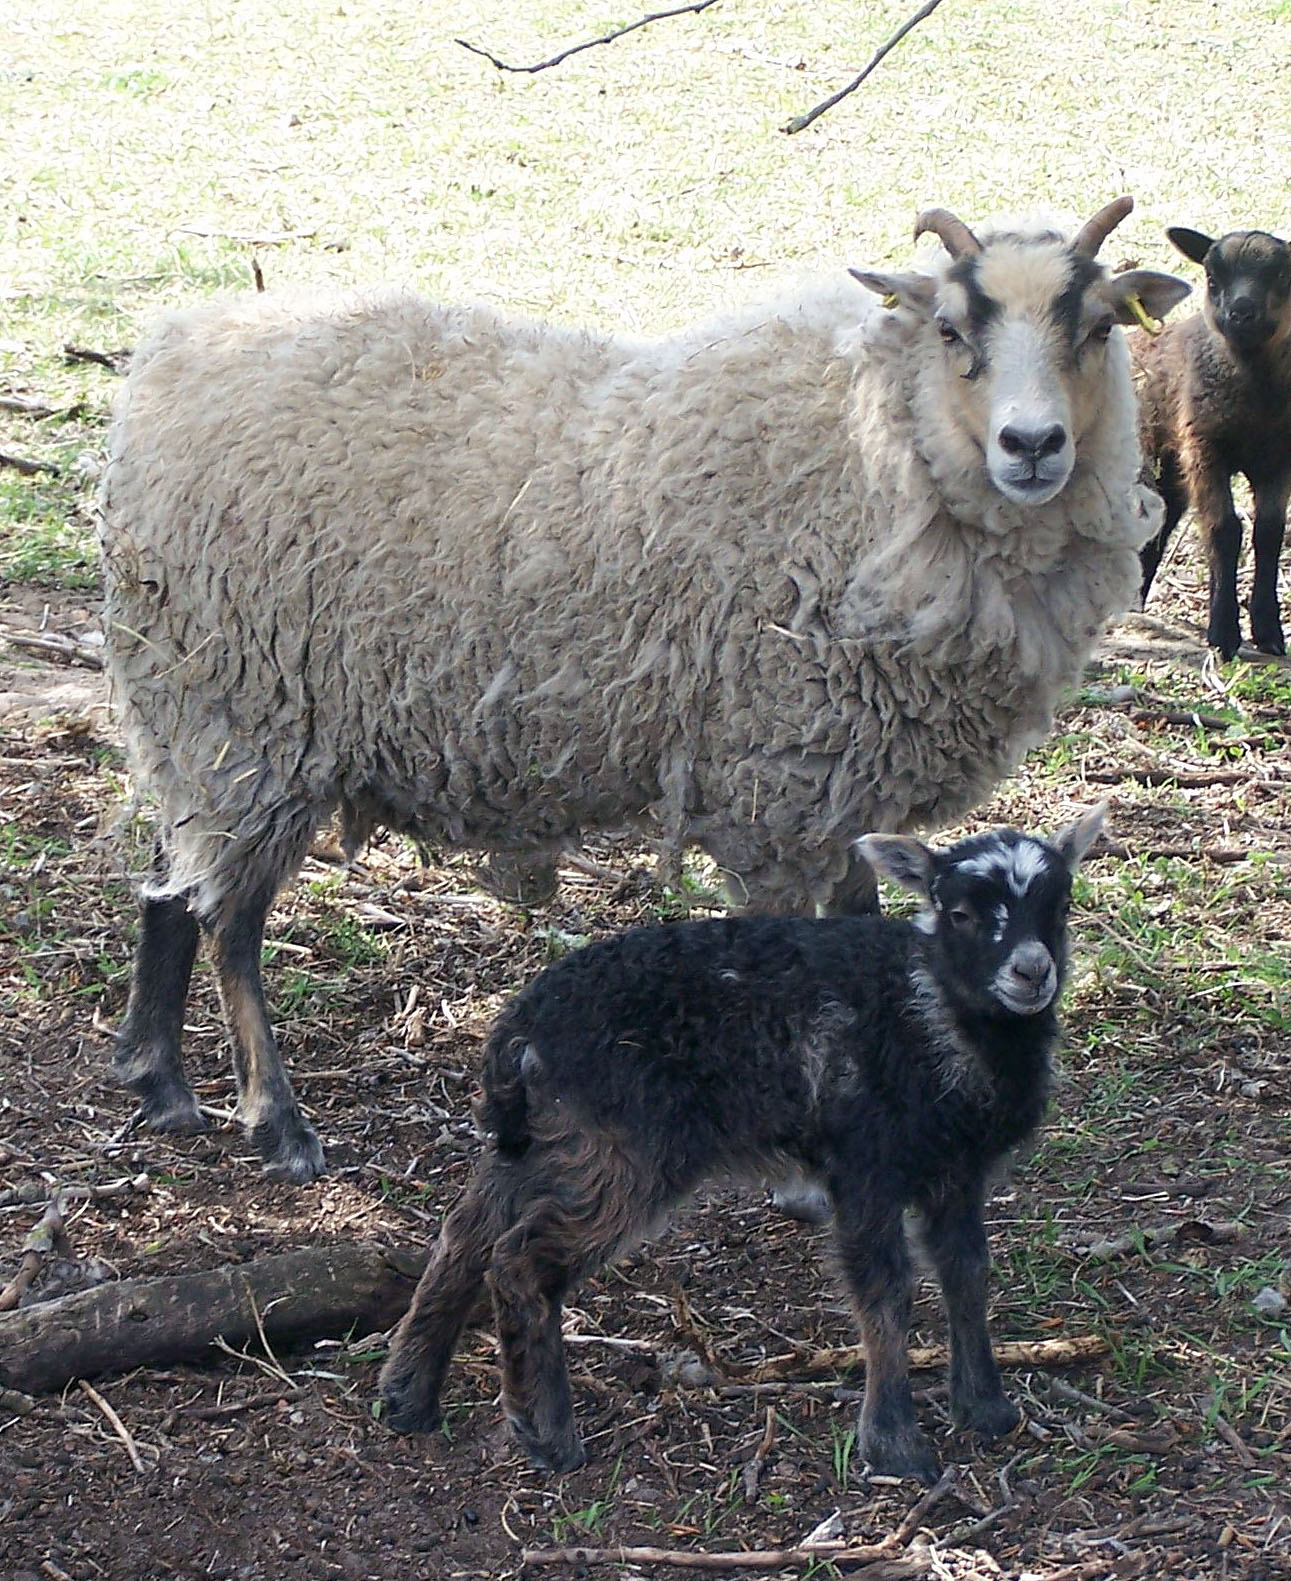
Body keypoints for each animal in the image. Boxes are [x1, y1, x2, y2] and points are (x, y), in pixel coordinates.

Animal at [100, 197, 1188, 1182]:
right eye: (954, 330)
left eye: (1098, 328)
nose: (1032, 446)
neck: (870, 454)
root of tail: (170, 353)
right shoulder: (780, 774)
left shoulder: (841, 781)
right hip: (252, 707)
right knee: (228, 918)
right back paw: (275, 1120)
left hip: (194, 701)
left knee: (172, 873)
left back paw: (157, 1077)